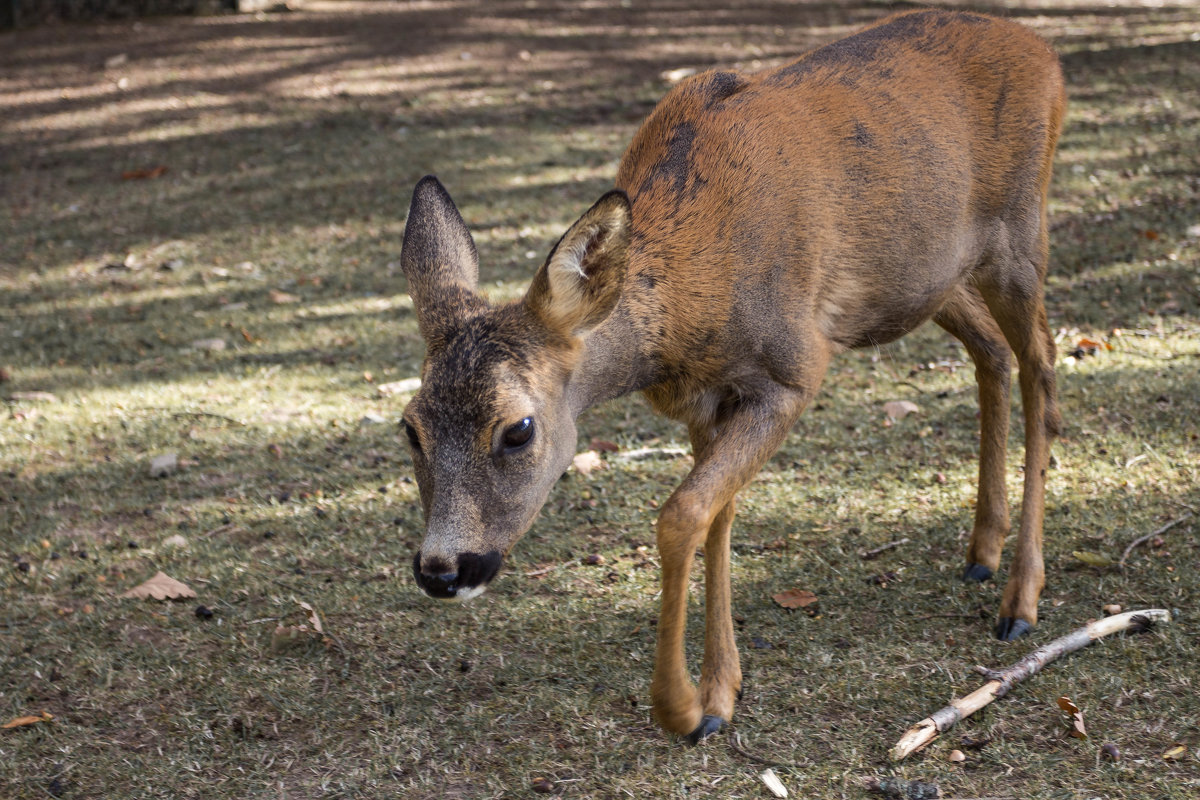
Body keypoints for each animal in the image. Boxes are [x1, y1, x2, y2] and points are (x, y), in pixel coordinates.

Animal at [403, 7, 1070, 743]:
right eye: (410, 428)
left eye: (518, 429)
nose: (442, 569)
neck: (687, 306)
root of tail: (1045, 52)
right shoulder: (704, 400)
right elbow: (715, 519)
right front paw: (721, 695)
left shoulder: (794, 367)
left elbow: (682, 514)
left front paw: (681, 708)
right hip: (931, 280)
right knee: (994, 354)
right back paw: (982, 552)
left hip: (1019, 233)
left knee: (1042, 364)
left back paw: (1021, 601)